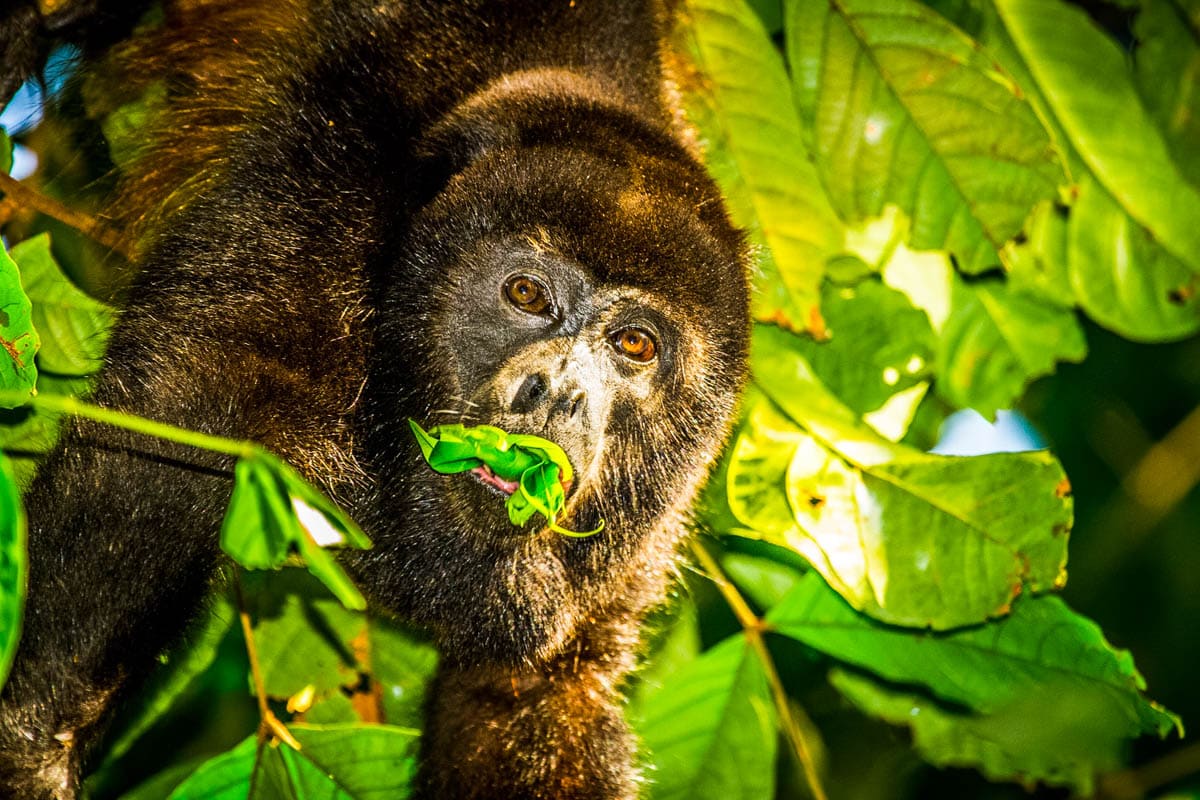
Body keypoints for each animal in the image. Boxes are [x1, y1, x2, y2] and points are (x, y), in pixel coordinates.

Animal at [0, 3, 748, 796]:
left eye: (634, 344)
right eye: (526, 294)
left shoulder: (644, 538)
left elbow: (523, 702)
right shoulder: (300, 228)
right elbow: (155, 459)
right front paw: (30, 749)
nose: (561, 392)